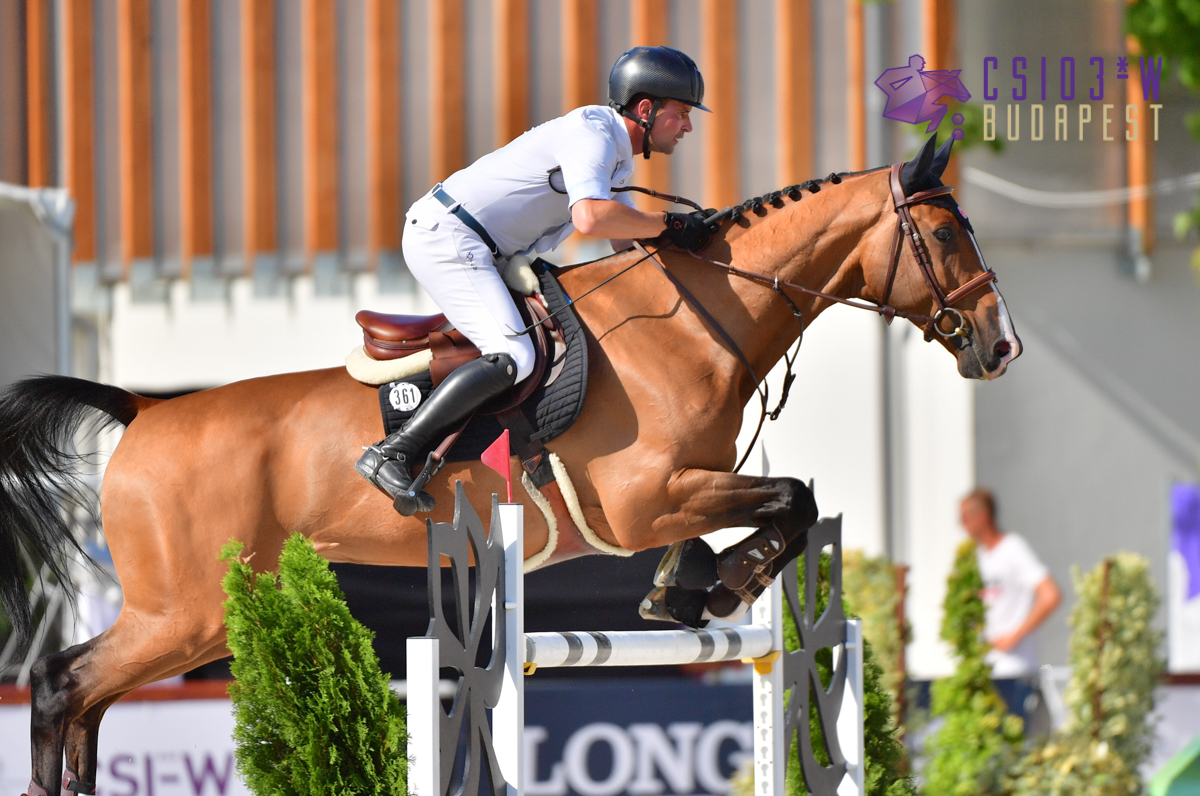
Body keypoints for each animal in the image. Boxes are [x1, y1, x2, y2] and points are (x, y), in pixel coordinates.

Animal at [0, 133, 1017, 792]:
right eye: (946, 234)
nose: (998, 347)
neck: (698, 318)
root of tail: (144, 410)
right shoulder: (645, 500)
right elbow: (790, 499)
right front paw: (724, 585)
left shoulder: (676, 494)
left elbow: (776, 507)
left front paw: (688, 589)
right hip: (187, 611)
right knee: (61, 686)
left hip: (194, 615)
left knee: (86, 701)